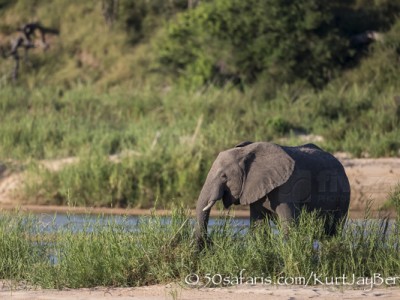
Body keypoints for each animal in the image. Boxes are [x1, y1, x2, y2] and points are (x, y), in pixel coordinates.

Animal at [196, 142, 350, 247]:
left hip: (343, 197)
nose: (208, 243)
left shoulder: (287, 187)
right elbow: (258, 227)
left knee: (334, 231)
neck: (246, 152)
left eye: (224, 176)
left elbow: (288, 225)